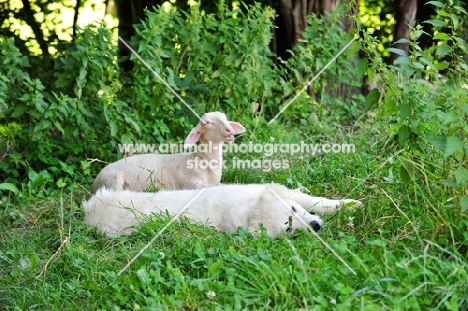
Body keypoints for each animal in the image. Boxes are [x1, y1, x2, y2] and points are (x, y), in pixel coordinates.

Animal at [91, 112, 245, 194]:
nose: (230, 130)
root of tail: (95, 182)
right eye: (207, 123)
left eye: (225, 118)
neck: (202, 160)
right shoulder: (192, 184)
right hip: (113, 180)